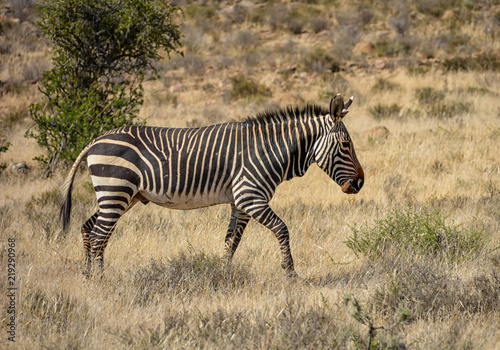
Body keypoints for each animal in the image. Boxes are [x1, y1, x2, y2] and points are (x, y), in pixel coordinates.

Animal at [60, 92, 364, 276]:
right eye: (346, 145)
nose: (360, 183)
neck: (268, 150)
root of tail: (95, 141)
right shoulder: (251, 197)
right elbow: (282, 229)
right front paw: (290, 272)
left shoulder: (240, 203)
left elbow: (231, 242)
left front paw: (224, 275)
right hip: (115, 190)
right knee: (99, 235)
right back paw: (100, 279)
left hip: (119, 195)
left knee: (90, 229)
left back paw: (88, 276)